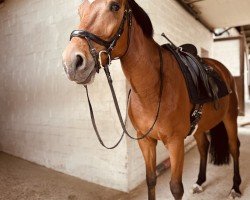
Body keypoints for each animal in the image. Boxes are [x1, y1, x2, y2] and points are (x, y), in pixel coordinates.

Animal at [61, 0, 241, 199]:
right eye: (80, 10)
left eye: (115, 6)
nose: (72, 63)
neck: (152, 89)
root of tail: (221, 69)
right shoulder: (145, 140)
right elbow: (151, 179)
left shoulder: (176, 143)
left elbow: (176, 187)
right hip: (200, 127)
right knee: (203, 147)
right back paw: (199, 182)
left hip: (230, 118)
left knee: (234, 147)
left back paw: (235, 187)